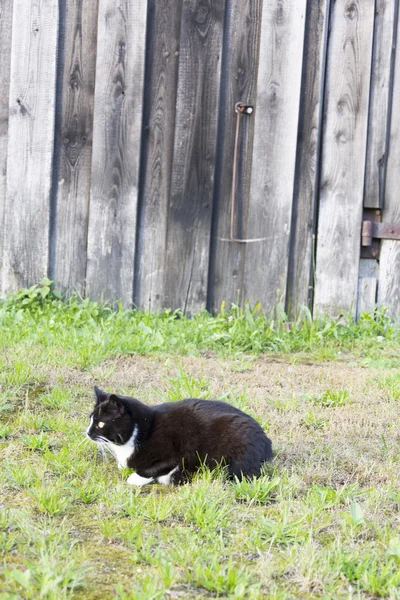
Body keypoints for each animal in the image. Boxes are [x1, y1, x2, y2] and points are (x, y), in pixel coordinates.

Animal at [86, 386, 274, 486]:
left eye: (100, 424)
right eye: (90, 419)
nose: (87, 433)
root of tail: (267, 443)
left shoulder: (177, 451)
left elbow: (156, 467)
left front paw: (136, 478)